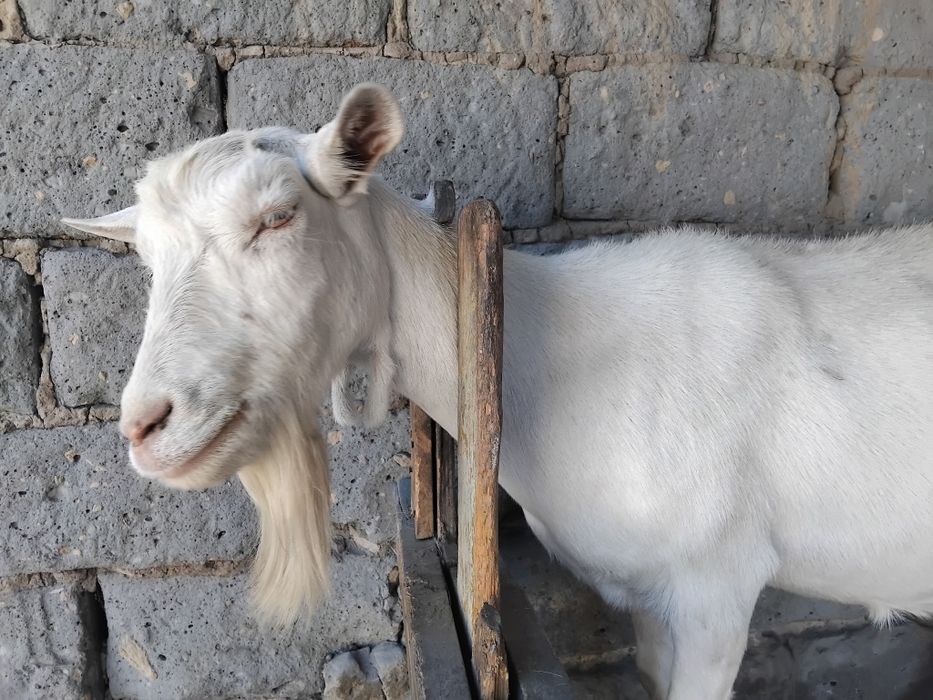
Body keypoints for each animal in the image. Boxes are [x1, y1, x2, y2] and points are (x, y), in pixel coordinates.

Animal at [63, 83, 933, 699]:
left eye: (278, 217)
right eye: (146, 256)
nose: (144, 427)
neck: (552, 351)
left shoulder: (715, 586)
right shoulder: (651, 598)